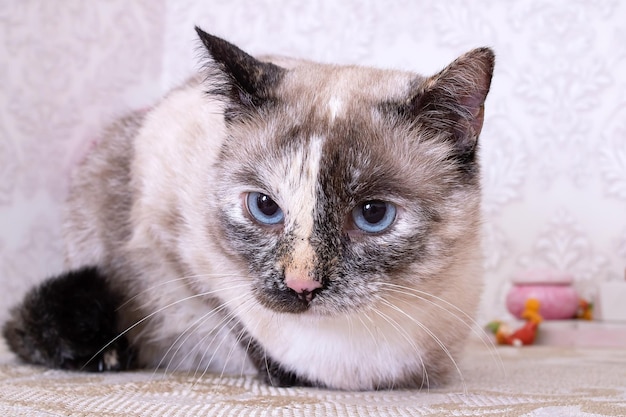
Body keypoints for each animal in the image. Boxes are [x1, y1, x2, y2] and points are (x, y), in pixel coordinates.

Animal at [3, 27, 492, 388]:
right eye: (264, 206)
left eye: (373, 214)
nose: (300, 285)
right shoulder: (171, 236)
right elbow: (235, 320)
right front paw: (285, 375)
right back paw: (106, 355)